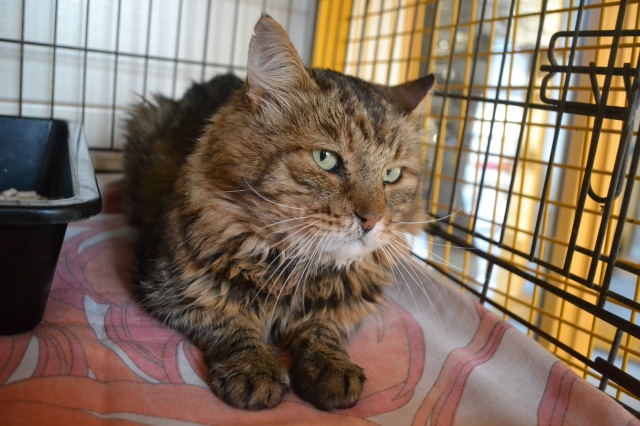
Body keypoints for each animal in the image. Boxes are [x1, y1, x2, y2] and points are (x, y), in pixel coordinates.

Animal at [123, 15, 434, 411]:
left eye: (392, 175)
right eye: (325, 158)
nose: (371, 219)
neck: (299, 270)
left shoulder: (347, 306)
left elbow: (323, 329)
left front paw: (331, 367)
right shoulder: (168, 285)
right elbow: (231, 321)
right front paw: (255, 368)